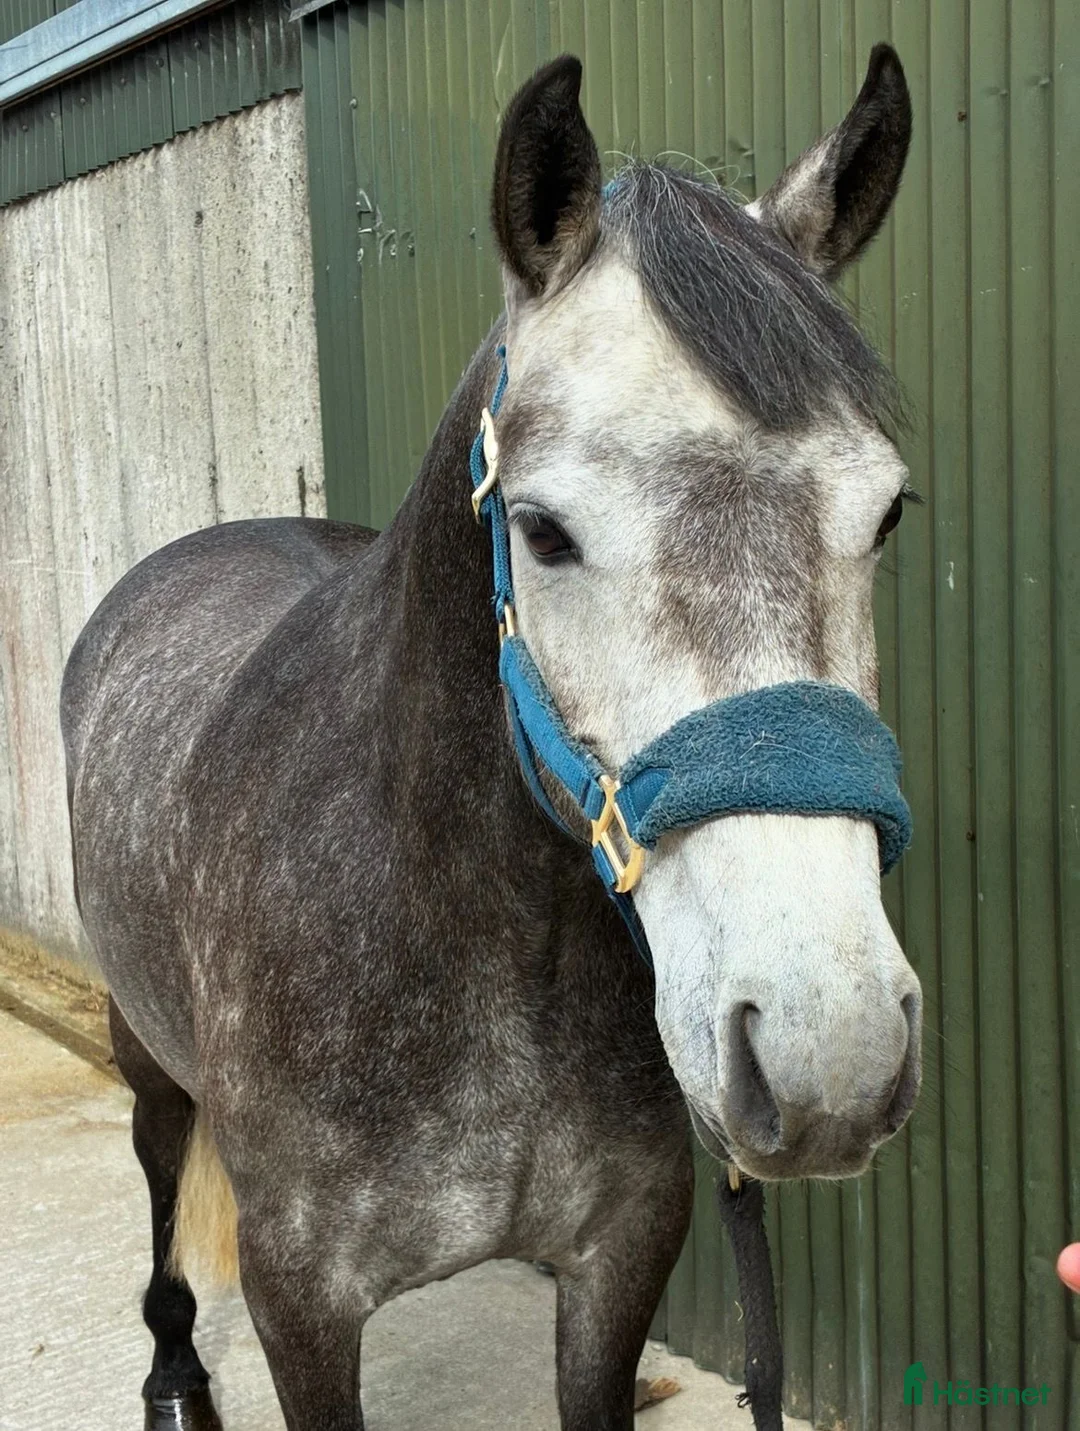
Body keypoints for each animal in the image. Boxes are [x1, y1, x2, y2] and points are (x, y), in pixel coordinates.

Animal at [61, 47, 920, 1431]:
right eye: (544, 529)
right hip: (144, 1054)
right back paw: (177, 1376)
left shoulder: (620, 1259)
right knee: (155, 1172)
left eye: (887, 512)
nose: (826, 1049)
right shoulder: (301, 1302)